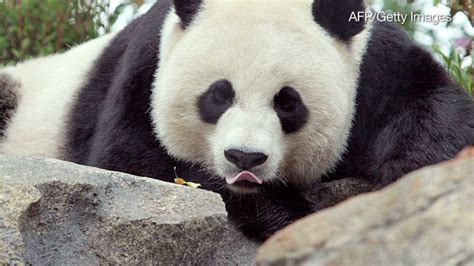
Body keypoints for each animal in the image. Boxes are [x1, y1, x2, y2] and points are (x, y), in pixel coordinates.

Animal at [0, 0, 474, 240]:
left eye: (288, 103)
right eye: (218, 95)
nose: (245, 157)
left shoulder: (372, 66)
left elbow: (435, 111)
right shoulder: (146, 67)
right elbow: (132, 160)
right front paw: (291, 219)